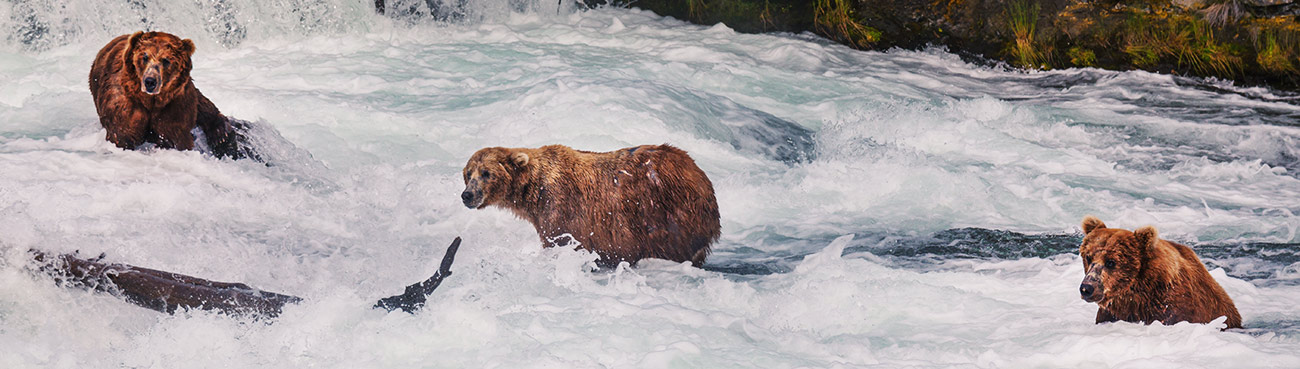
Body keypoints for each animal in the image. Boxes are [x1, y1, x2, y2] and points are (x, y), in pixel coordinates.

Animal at [90, 31, 246, 157]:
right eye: (144, 57)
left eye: (166, 60)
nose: (150, 81)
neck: (150, 101)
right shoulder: (124, 101)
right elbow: (122, 132)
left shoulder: (174, 104)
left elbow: (174, 136)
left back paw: (222, 136)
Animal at [460, 142, 728, 266]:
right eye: (468, 173)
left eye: (486, 173)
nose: (467, 195)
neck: (534, 191)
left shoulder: (560, 209)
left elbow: (560, 241)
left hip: (666, 215)